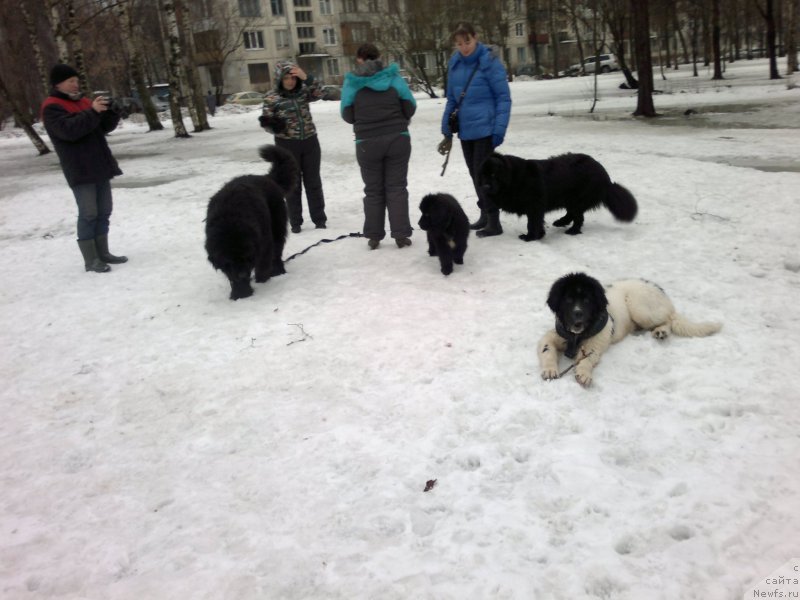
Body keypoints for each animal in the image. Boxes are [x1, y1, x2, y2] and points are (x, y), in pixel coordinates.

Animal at [203, 145, 296, 300]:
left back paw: (278, 270)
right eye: (230, 261)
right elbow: (232, 277)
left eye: (245, 258)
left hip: (277, 226)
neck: (230, 221)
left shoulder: (263, 242)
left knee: (277, 250)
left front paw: (261, 280)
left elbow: (263, 262)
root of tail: (266, 177)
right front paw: (240, 293)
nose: (242, 274)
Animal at [478, 152, 640, 241]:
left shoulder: (535, 207)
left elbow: (532, 223)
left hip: (577, 199)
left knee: (578, 217)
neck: (514, 178)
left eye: (494, 175)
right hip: (570, 199)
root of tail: (605, 177)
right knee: (572, 214)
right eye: (483, 175)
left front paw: (531, 237)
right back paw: (561, 222)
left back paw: (572, 230)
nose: (485, 187)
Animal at [540, 274, 720, 386]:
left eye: (586, 300)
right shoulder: (553, 335)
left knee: (669, 318)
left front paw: (584, 374)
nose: (578, 314)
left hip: (640, 307)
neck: (577, 335)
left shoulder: (594, 345)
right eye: (568, 300)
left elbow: (586, 359)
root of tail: (659, 289)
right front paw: (549, 369)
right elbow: (547, 350)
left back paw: (662, 331)